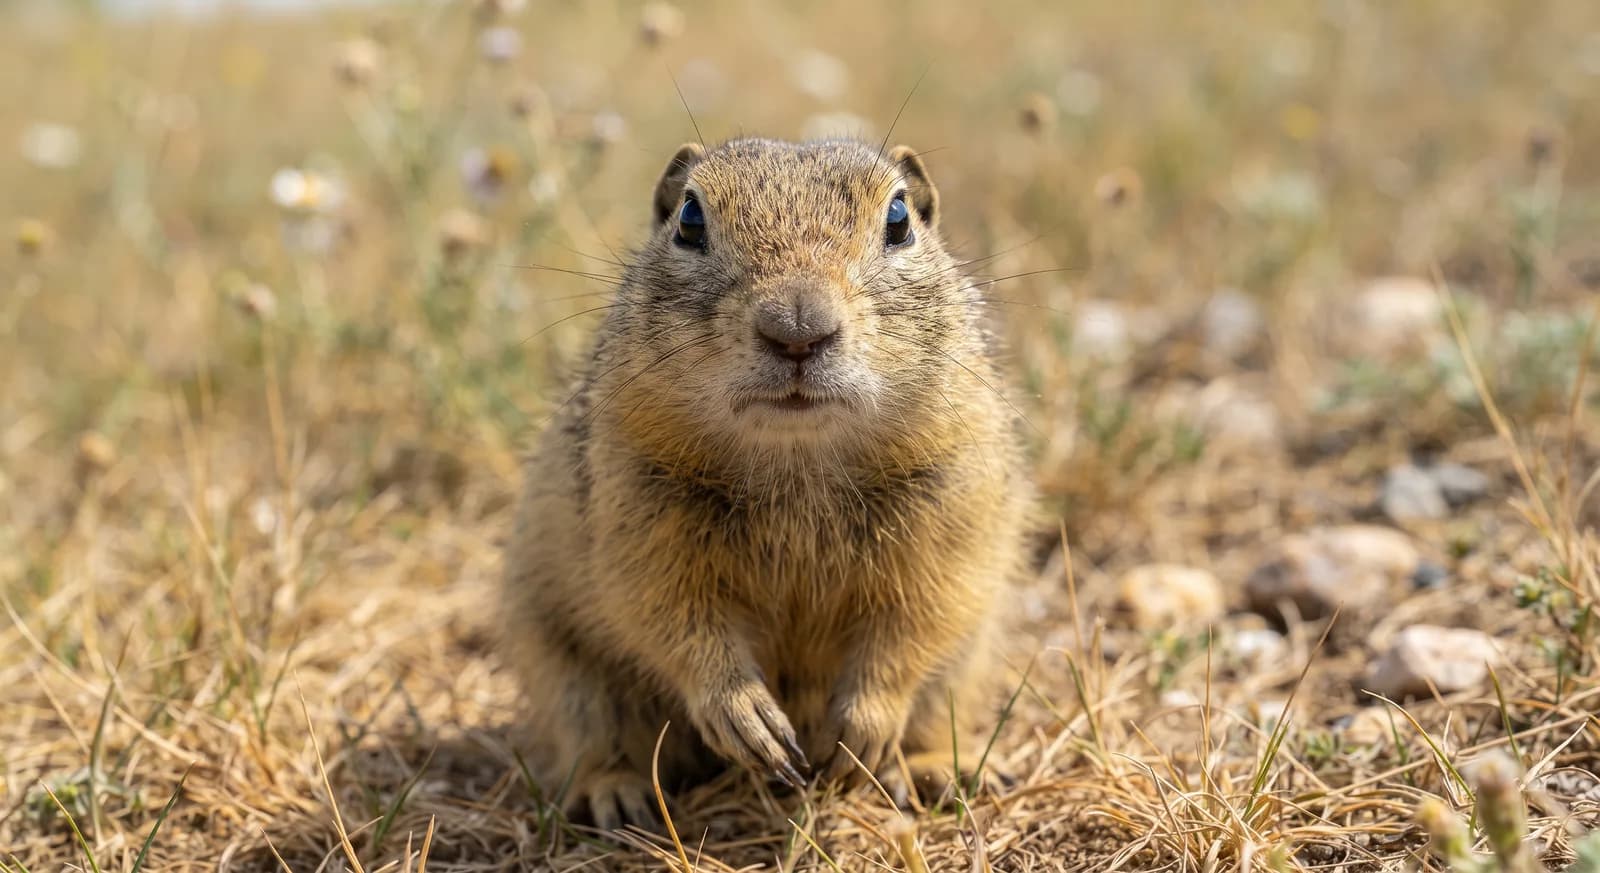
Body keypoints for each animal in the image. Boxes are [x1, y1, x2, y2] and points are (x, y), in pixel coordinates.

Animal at [501, 137, 1030, 829]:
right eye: (689, 219)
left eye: (899, 220)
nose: (797, 329)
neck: (796, 459)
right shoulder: (633, 504)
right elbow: (663, 611)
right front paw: (744, 712)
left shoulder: (951, 507)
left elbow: (917, 619)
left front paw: (860, 726)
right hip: (565, 667)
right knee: (593, 735)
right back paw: (612, 792)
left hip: (965, 669)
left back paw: (938, 768)